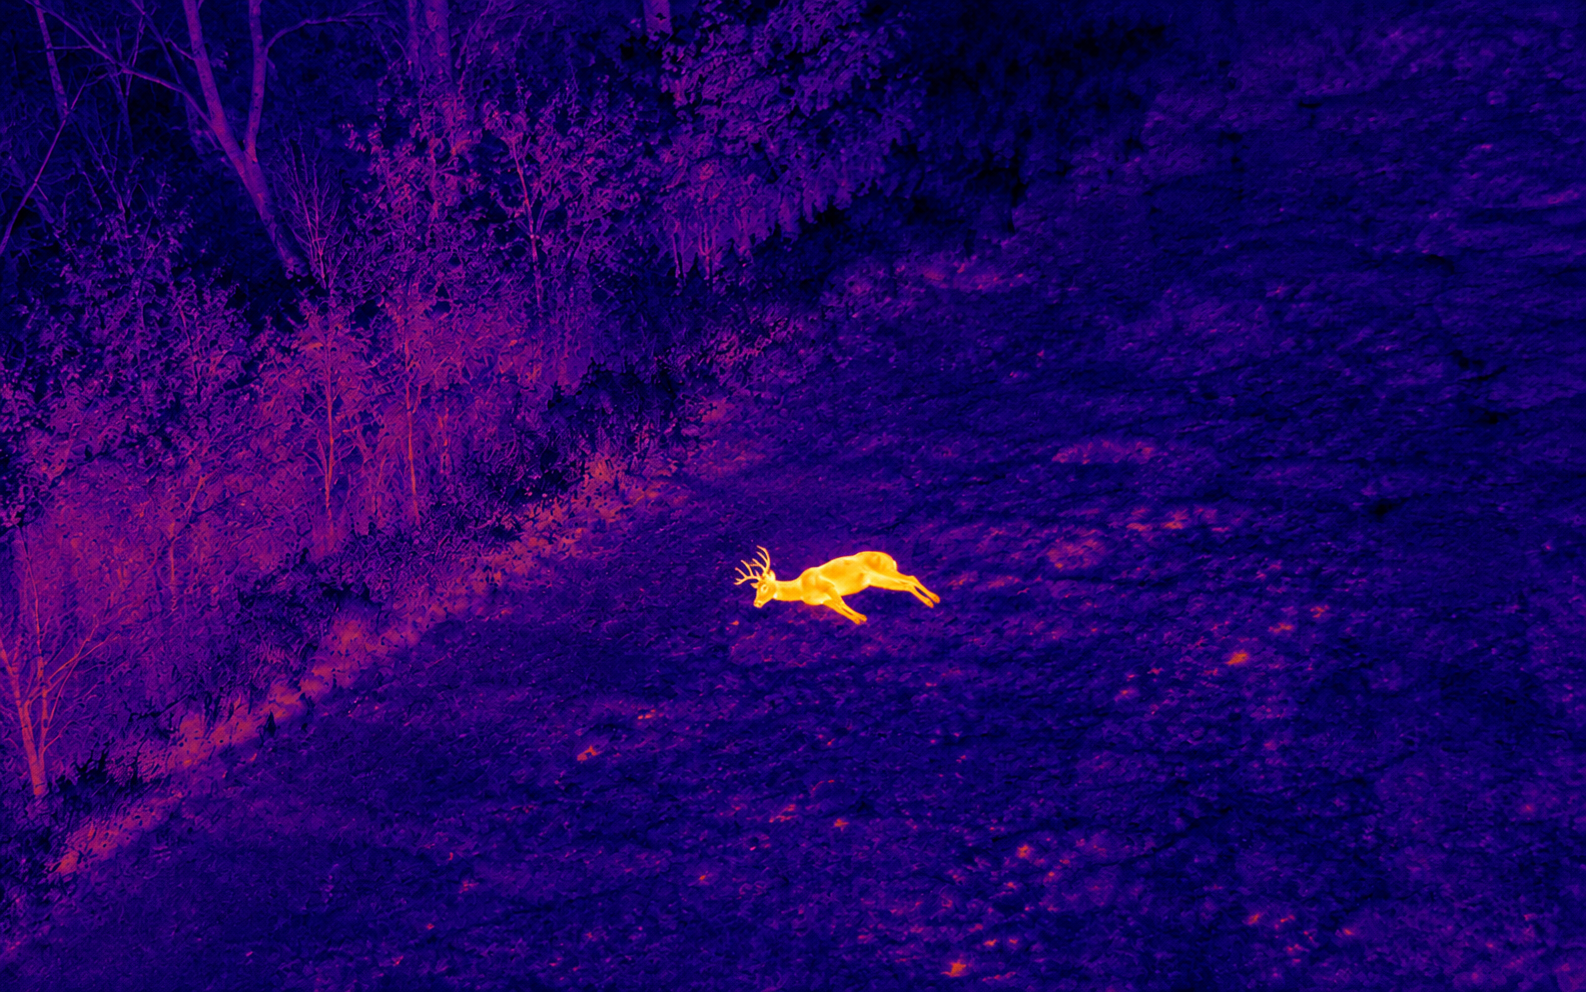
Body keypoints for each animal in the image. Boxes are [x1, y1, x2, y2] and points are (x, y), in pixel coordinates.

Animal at [732, 546, 941, 625]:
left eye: (764, 587)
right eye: (756, 588)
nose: (757, 603)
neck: (801, 588)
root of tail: (889, 557)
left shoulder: (829, 588)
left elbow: (841, 603)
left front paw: (861, 617)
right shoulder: (823, 601)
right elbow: (839, 609)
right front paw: (859, 619)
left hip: (884, 570)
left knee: (911, 578)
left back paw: (934, 600)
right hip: (877, 579)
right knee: (906, 584)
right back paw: (931, 601)